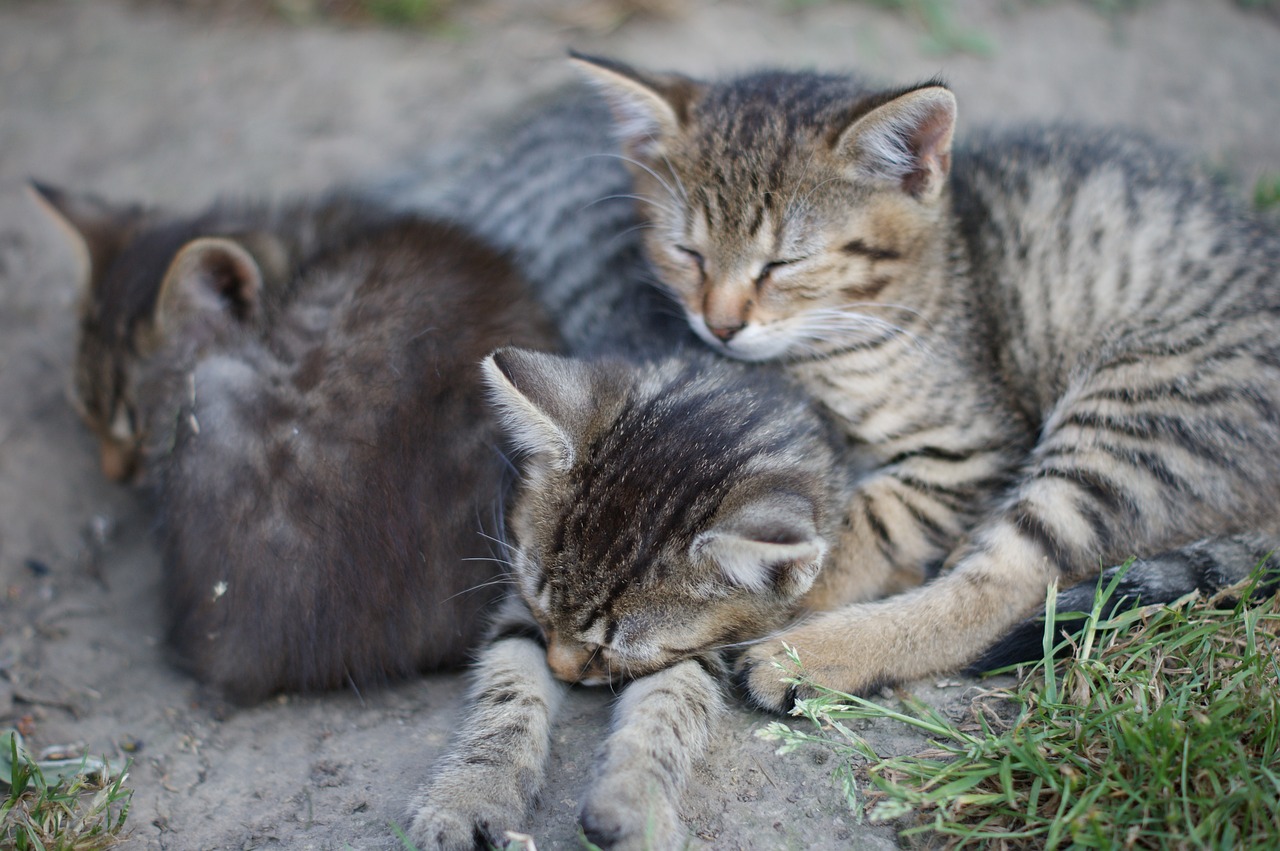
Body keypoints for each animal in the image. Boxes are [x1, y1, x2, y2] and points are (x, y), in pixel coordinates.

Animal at [568, 54, 1280, 711]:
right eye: (687, 254)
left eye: (785, 263)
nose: (720, 325)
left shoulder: (974, 447)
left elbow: (858, 527)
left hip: (1136, 415)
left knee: (1010, 584)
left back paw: (813, 657)